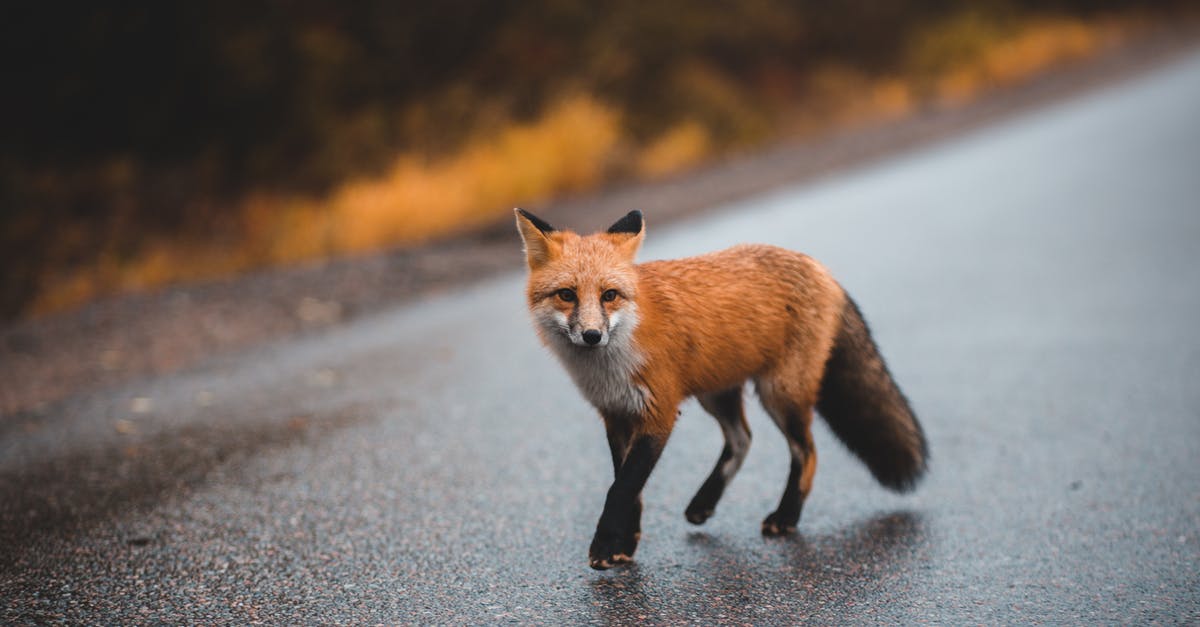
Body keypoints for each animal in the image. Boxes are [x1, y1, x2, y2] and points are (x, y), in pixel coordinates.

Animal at [514, 208, 927, 570]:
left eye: (609, 295)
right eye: (567, 294)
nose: (592, 335)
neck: (613, 362)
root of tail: (819, 267)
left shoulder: (659, 413)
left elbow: (621, 489)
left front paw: (603, 547)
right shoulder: (616, 415)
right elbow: (630, 489)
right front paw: (625, 543)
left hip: (780, 394)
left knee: (806, 452)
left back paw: (786, 516)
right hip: (716, 394)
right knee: (742, 439)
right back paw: (704, 502)